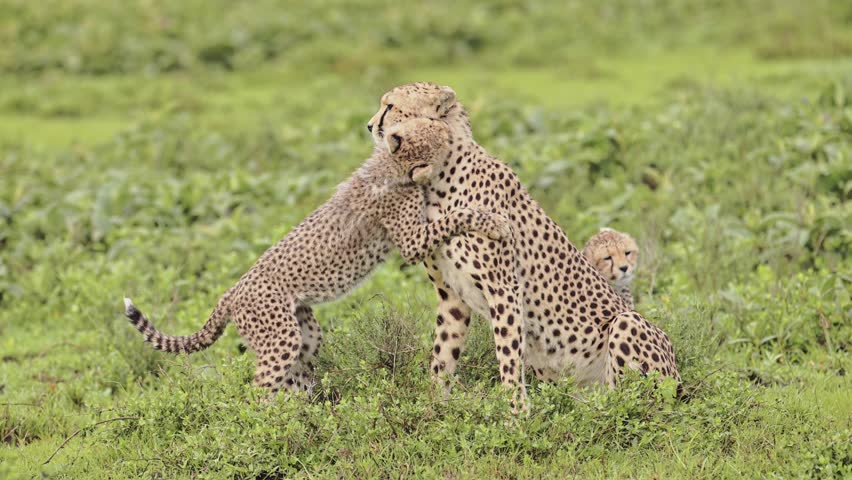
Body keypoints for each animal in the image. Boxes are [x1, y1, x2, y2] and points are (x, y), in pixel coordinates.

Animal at [123, 117, 510, 397]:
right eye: (431, 135)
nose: (450, 133)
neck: (392, 166)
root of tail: (230, 293)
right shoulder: (411, 242)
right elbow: (456, 216)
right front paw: (494, 223)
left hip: (304, 332)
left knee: (297, 374)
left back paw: (308, 412)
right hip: (279, 338)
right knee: (257, 390)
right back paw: (266, 426)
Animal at [366, 82, 680, 409]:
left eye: (390, 106)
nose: (370, 126)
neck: (440, 174)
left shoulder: (503, 287)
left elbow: (508, 354)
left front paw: (515, 412)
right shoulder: (451, 295)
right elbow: (442, 354)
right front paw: (435, 406)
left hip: (627, 325)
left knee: (632, 401)